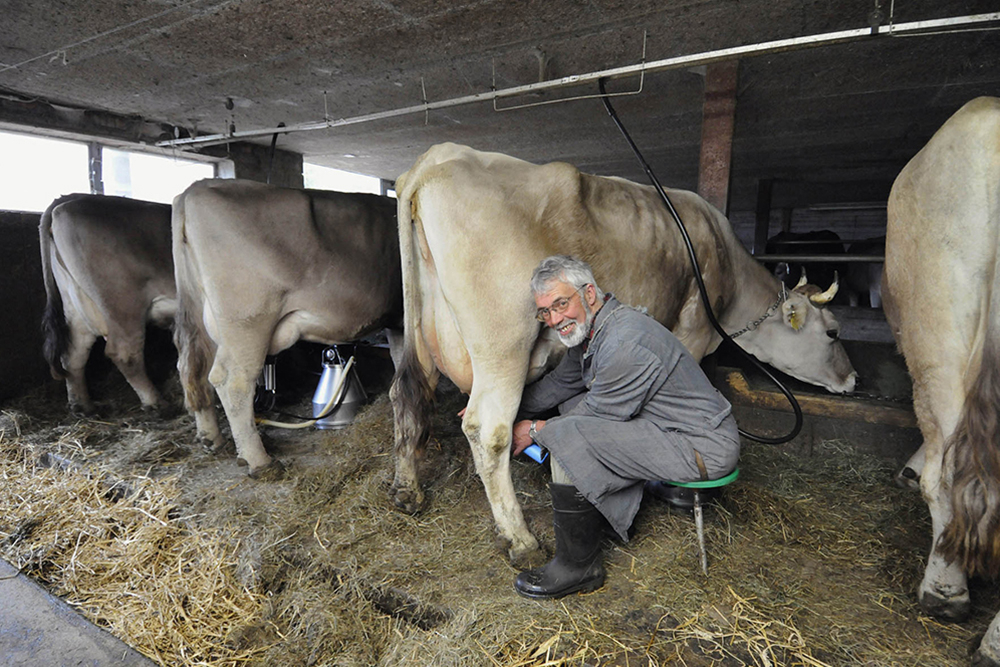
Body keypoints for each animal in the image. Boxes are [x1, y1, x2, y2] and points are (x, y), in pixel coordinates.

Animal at [40, 192, 176, 412]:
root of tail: (66, 200)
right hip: (122, 301)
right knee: (124, 352)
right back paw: (157, 404)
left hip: (76, 304)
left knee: (74, 354)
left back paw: (82, 406)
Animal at [172, 177, 402, 480]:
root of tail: (195, 188)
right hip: (247, 320)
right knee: (232, 381)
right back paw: (259, 461)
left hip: (201, 317)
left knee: (193, 370)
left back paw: (212, 439)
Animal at [386, 145, 856, 564]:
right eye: (833, 332)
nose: (852, 380)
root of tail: (434, 158)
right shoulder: (693, 333)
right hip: (503, 343)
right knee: (488, 430)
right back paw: (520, 540)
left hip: (420, 335)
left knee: (406, 395)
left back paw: (407, 492)